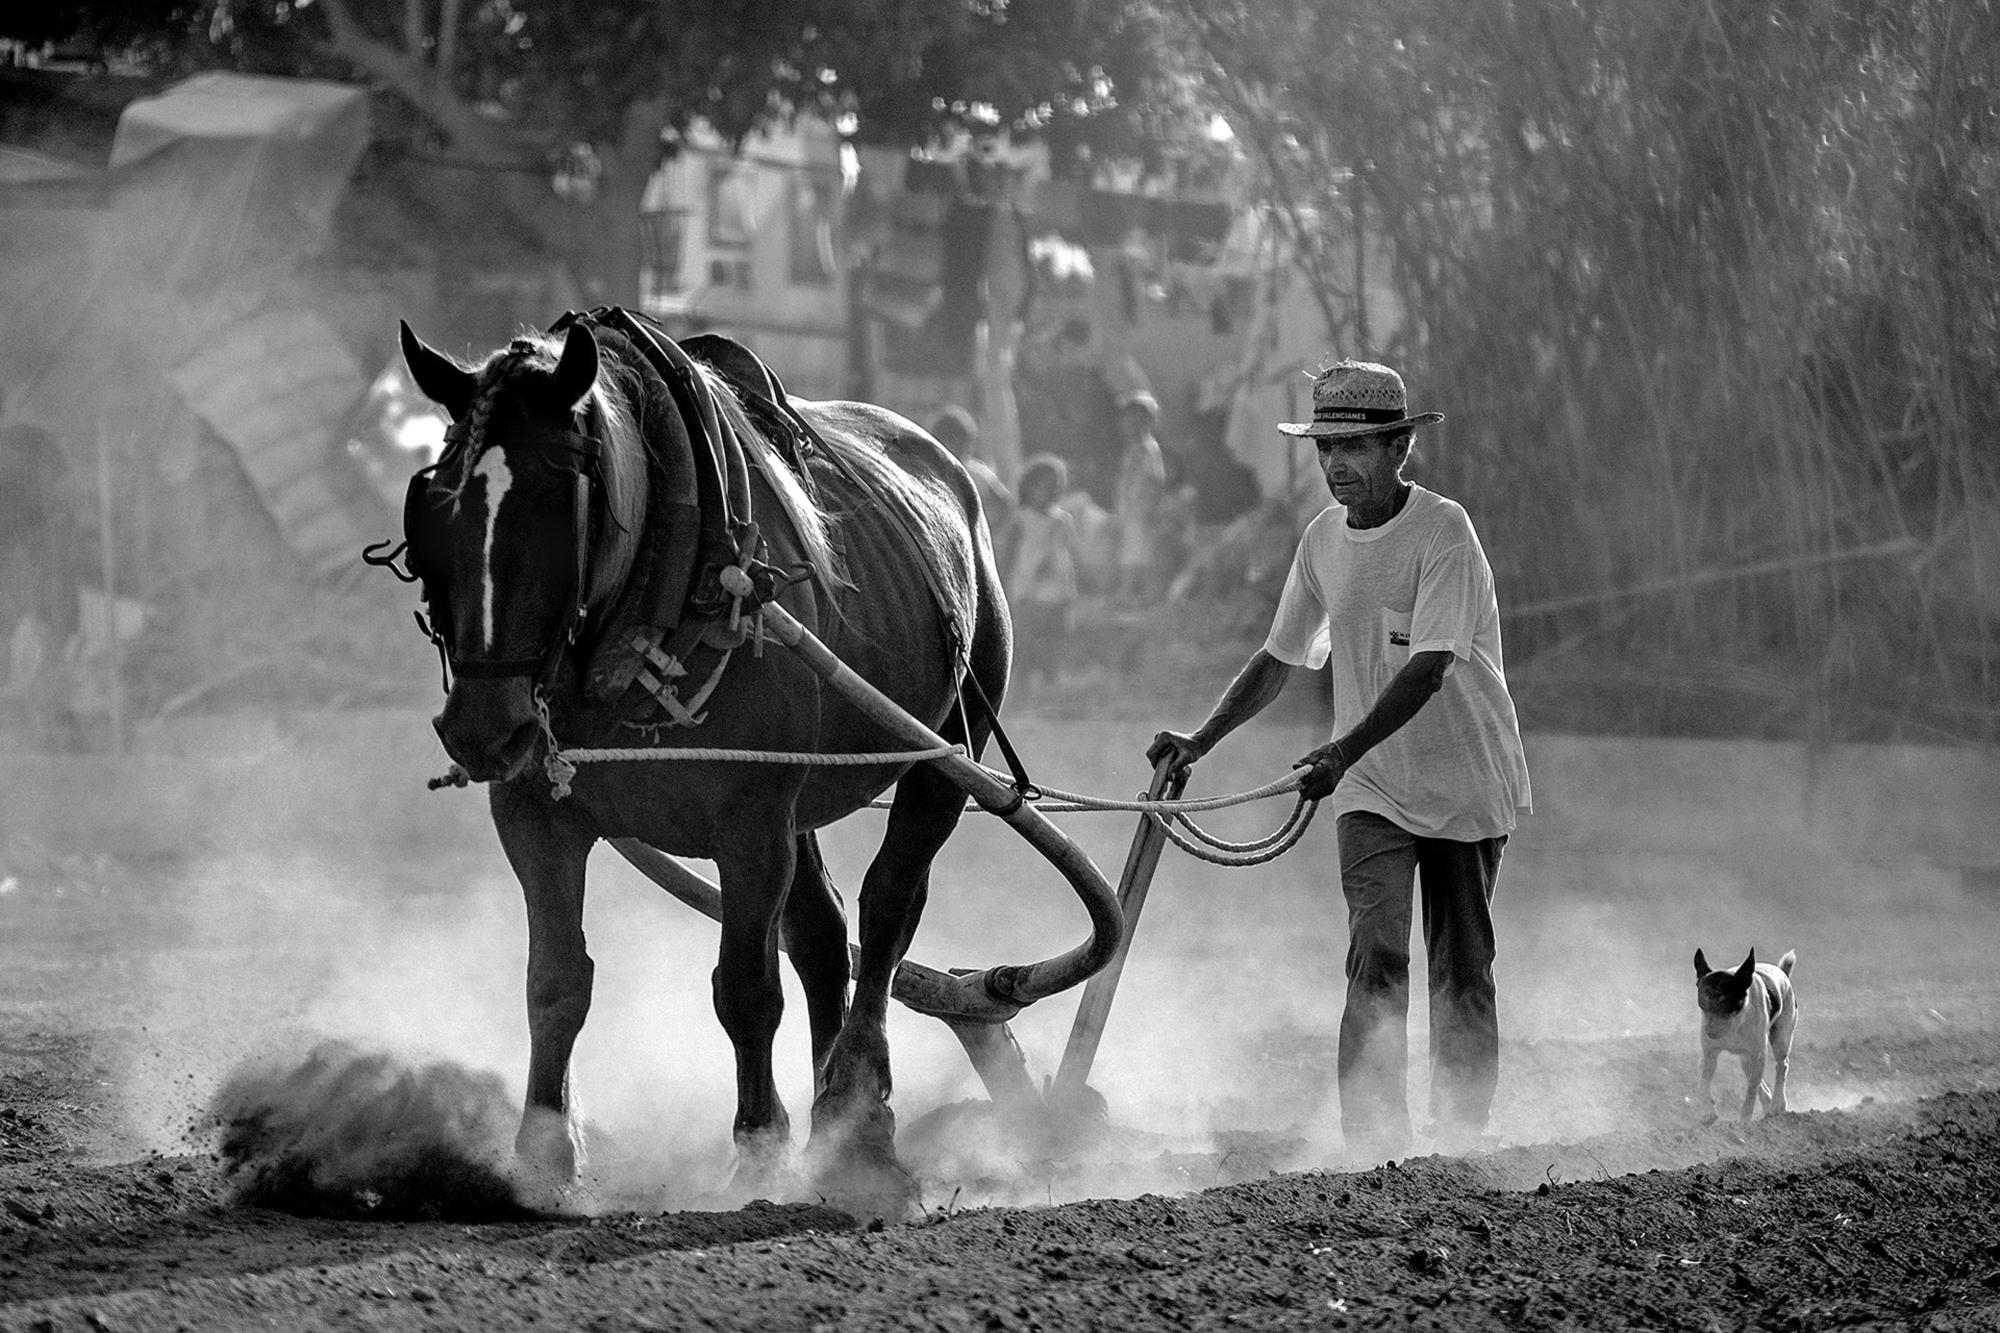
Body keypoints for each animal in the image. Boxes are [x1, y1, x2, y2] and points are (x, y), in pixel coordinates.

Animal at [396, 312, 1008, 1200]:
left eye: (552, 507)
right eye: (436, 508)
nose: (480, 726)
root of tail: (952, 476)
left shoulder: (750, 819)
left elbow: (746, 987)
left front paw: (759, 1147)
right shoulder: (535, 813)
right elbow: (556, 979)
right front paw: (543, 1155)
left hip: (944, 753)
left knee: (888, 908)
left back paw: (860, 1115)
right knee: (822, 933)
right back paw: (832, 1120)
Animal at [1688, 944, 1800, 1120]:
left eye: (1726, 1000)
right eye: (1703, 1000)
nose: (1710, 1032)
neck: (1734, 1023)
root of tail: (1783, 973)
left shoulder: (1759, 1053)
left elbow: (1751, 1091)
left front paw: (1744, 1119)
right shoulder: (1709, 1054)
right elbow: (1703, 1081)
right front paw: (1707, 1111)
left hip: (1780, 1039)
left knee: (1781, 1066)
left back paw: (1777, 1104)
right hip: (1746, 1059)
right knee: (1755, 1078)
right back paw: (1768, 1105)